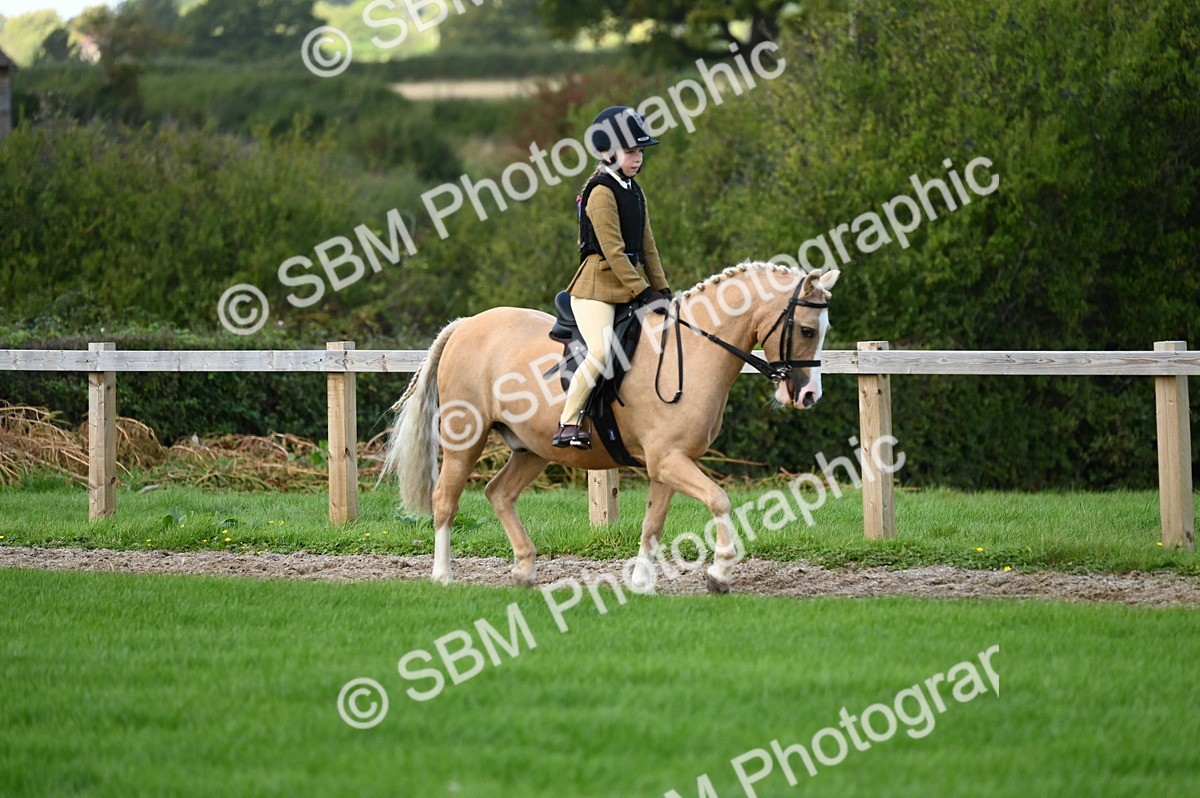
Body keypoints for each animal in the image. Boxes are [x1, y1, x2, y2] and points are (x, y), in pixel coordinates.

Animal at [382, 262, 840, 593]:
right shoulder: (669, 461)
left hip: (533, 449)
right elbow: (720, 501)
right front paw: (719, 575)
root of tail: (466, 324)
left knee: (499, 493)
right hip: (466, 438)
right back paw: (443, 576)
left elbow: (653, 524)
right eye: (805, 329)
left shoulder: (668, 464)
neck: (692, 352)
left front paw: (640, 583)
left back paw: (524, 571)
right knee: (445, 500)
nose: (809, 396)